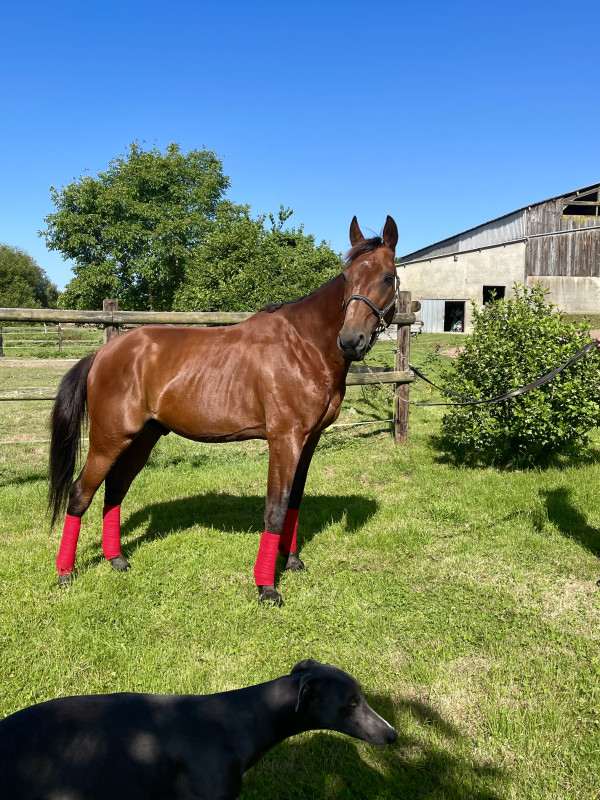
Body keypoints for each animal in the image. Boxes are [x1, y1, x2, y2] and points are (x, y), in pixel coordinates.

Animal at [49, 216, 399, 605]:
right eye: (347, 277)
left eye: (387, 276)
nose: (351, 341)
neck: (304, 345)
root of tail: (102, 354)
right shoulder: (284, 439)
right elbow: (275, 509)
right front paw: (267, 587)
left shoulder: (308, 440)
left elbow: (294, 500)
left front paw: (292, 561)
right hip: (109, 439)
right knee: (81, 493)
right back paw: (65, 574)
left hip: (142, 437)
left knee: (115, 488)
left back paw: (117, 560)